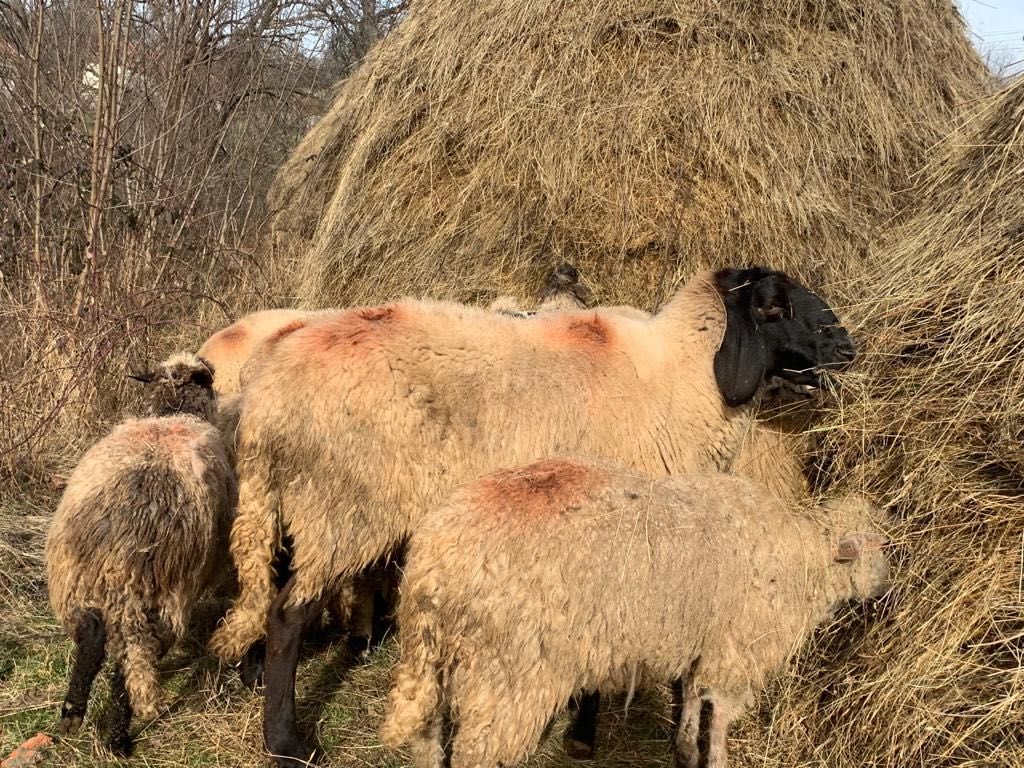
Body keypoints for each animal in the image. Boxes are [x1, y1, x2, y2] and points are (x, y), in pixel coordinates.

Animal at [45, 354, 234, 757]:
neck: (173, 413)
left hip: (79, 581)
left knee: (90, 640)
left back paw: (73, 711)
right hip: (158, 596)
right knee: (126, 664)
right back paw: (118, 737)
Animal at [380, 460, 892, 765]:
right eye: (878, 547)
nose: (887, 591)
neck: (803, 562)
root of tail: (436, 563)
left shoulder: (701, 639)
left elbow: (692, 696)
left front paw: (684, 748)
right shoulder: (736, 650)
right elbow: (719, 716)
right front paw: (715, 758)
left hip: (432, 654)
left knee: (426, 733)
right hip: (508, 673)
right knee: (477, 751)